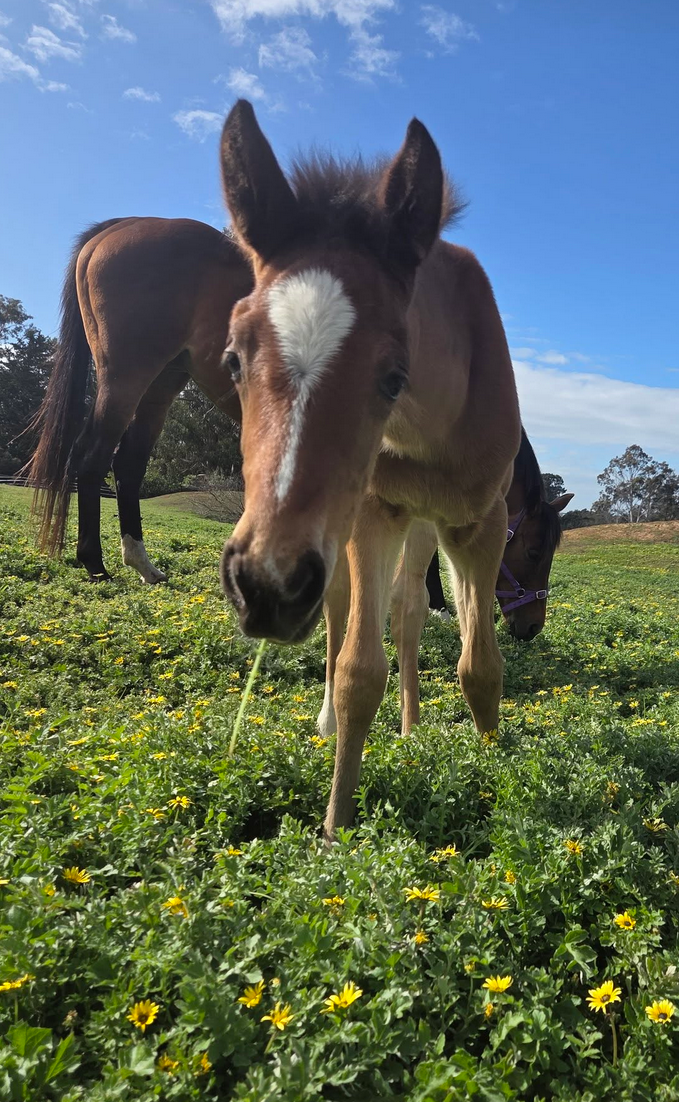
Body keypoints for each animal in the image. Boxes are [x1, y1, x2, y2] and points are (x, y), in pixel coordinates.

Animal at [26, 217, 251, 582]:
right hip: (125, 382)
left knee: (127, 465)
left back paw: (141, 563)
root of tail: (125, 223)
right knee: (92, 456)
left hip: (159, 387)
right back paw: (95, 563)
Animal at [218, 100, 523, 839]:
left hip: (417, 528)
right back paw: (328, 721)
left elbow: (480, 666)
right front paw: (335, 828)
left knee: (409, 611)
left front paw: (495, 773)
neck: (431, 425)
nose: (265, 585)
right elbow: (359, 669)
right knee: (339, 613)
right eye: (232, 358)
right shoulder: (373, 513)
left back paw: (411, 730)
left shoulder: (480, 522)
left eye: (393, 375)